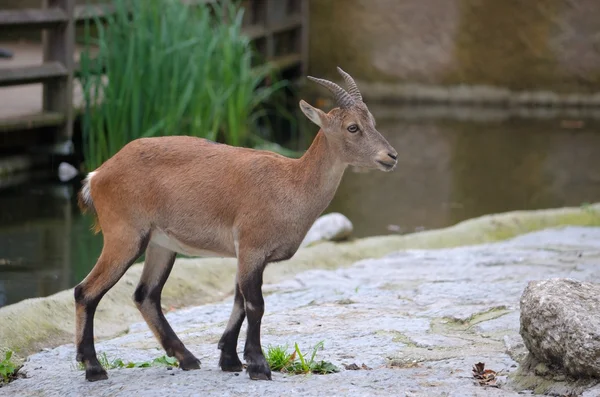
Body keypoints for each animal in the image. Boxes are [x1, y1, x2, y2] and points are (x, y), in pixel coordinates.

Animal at [75, 67, 398, 380]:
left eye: (372, 121)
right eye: (352, 127)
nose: (391, 155)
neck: (292, 184)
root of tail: (97, 175)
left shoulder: (249, 254)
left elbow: (238, 301)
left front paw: (229, 359)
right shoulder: (252, 247)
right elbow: (255, 304)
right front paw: (258, 365)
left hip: (160, 243)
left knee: (146, 295)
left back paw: (187, 358)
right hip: (125, 236)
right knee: (86, 291)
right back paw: (93, 367)